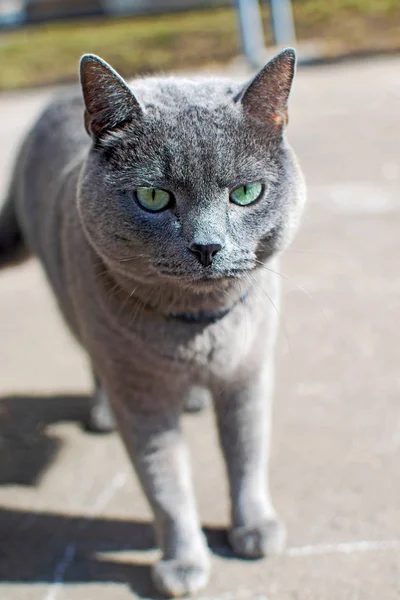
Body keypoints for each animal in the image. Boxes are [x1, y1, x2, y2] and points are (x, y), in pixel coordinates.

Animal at [0, 48, 306, 596]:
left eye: (246, 192)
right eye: (154, 198)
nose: (207, 246)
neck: (197, 326)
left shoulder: (249, 373)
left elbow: (248, 455)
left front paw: (254, 527)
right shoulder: (141, 397)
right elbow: (166, 484)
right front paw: (183, 563)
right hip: (75, 308)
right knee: (93, 361)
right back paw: (102, 412)